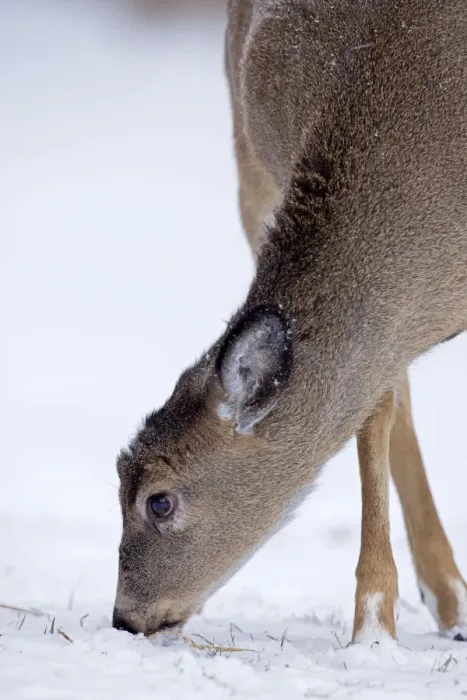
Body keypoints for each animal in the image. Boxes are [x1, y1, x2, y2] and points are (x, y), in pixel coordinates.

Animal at [113, 0, 467, 644]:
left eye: (159, 500)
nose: (124, 618)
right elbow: (375, 413)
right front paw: (373, 628)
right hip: (250, 172)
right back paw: (450, 603)